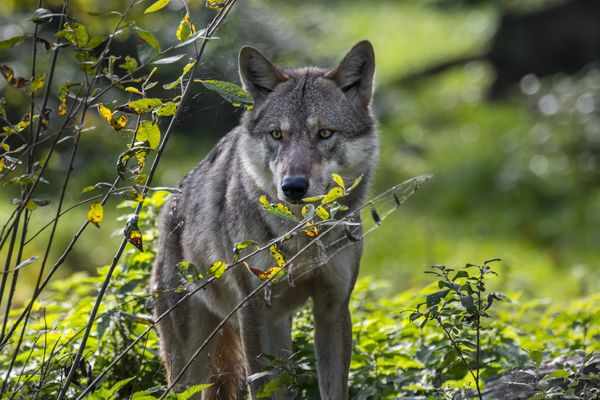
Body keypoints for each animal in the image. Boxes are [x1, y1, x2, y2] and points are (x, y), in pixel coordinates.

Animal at [154, 39, 380, 398]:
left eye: (324, 133)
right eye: (277, 134)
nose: (293, 187)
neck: (302, 237)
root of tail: (171, 205)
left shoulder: (333, 309)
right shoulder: (253, 311)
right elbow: (261, 388)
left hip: (277, 334)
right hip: (188, 368)